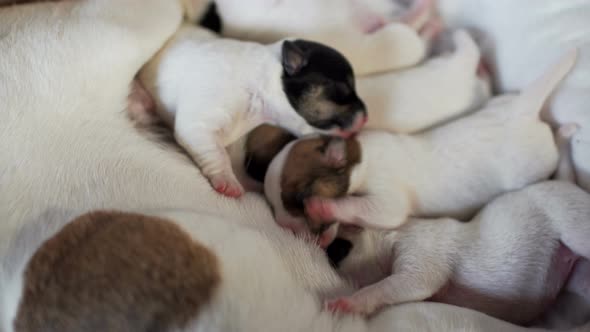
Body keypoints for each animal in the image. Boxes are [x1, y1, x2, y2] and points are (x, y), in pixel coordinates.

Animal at [264, 49, 580, 246]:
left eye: (297, 199)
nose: (282, 225)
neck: (359, 154)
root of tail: (522, 110)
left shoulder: (386, 196)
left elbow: (375, 209)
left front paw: (322, 206)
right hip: (500, 106)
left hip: (534, 167)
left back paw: (565, 133)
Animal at [328, 180, 590, 326]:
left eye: (339, 248)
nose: (324, 249)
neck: (390, 236)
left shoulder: (421, 251)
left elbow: (409, 282)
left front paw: (345, 303)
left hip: (572, 218)